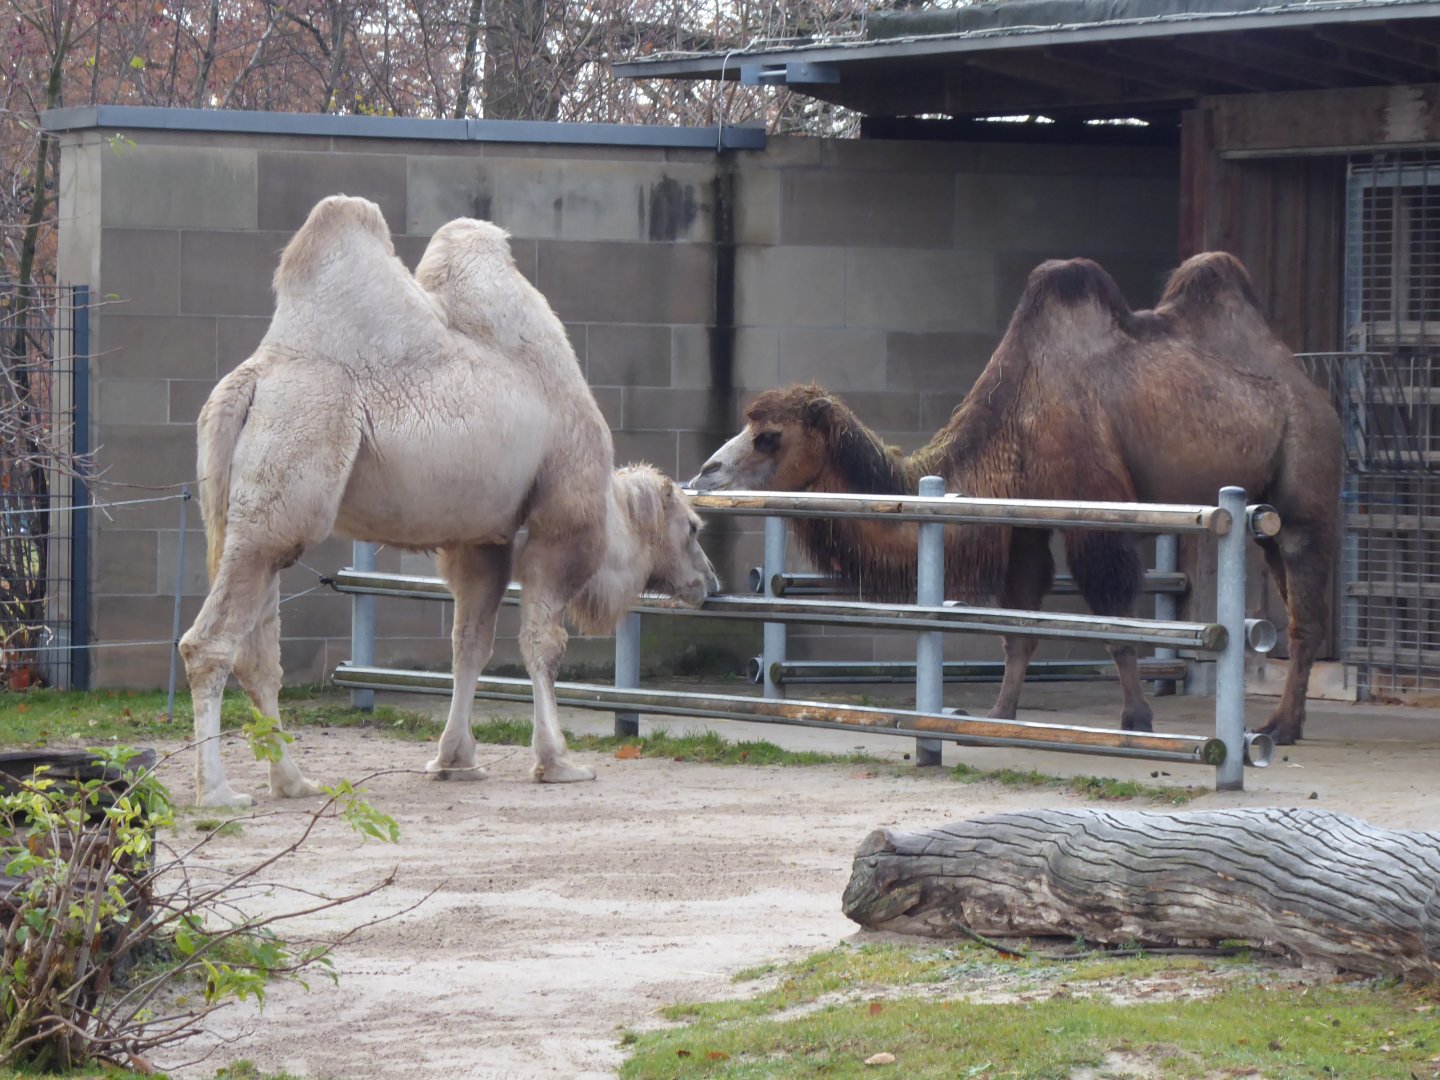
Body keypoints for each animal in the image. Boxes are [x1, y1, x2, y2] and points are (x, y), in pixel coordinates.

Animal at [180, 196, 718, 807]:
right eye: (693, 527)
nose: (708, 583)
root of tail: (249, 382)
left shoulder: (480, 539)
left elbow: (470, 645)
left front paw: (455, 760)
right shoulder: (559, 522)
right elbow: (543, 643)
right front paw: (556, 761)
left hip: (250, 520)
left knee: (258, 653)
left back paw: (293, 781)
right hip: (289, 472)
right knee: (210, 644)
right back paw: (217, 793)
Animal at [690, 253, 1341, 745]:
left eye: (769, 436)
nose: (704, 474)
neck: (1014, 418)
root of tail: (1307, 382)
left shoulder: (1092, 511)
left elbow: (1111, 617)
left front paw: (1136, 718)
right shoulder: (1025, 519)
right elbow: (1018, 625)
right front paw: (999, 716)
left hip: (1305, 472)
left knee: (1305, 605)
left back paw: (1280, 728)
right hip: (1263, 510)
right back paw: (1290, 721)